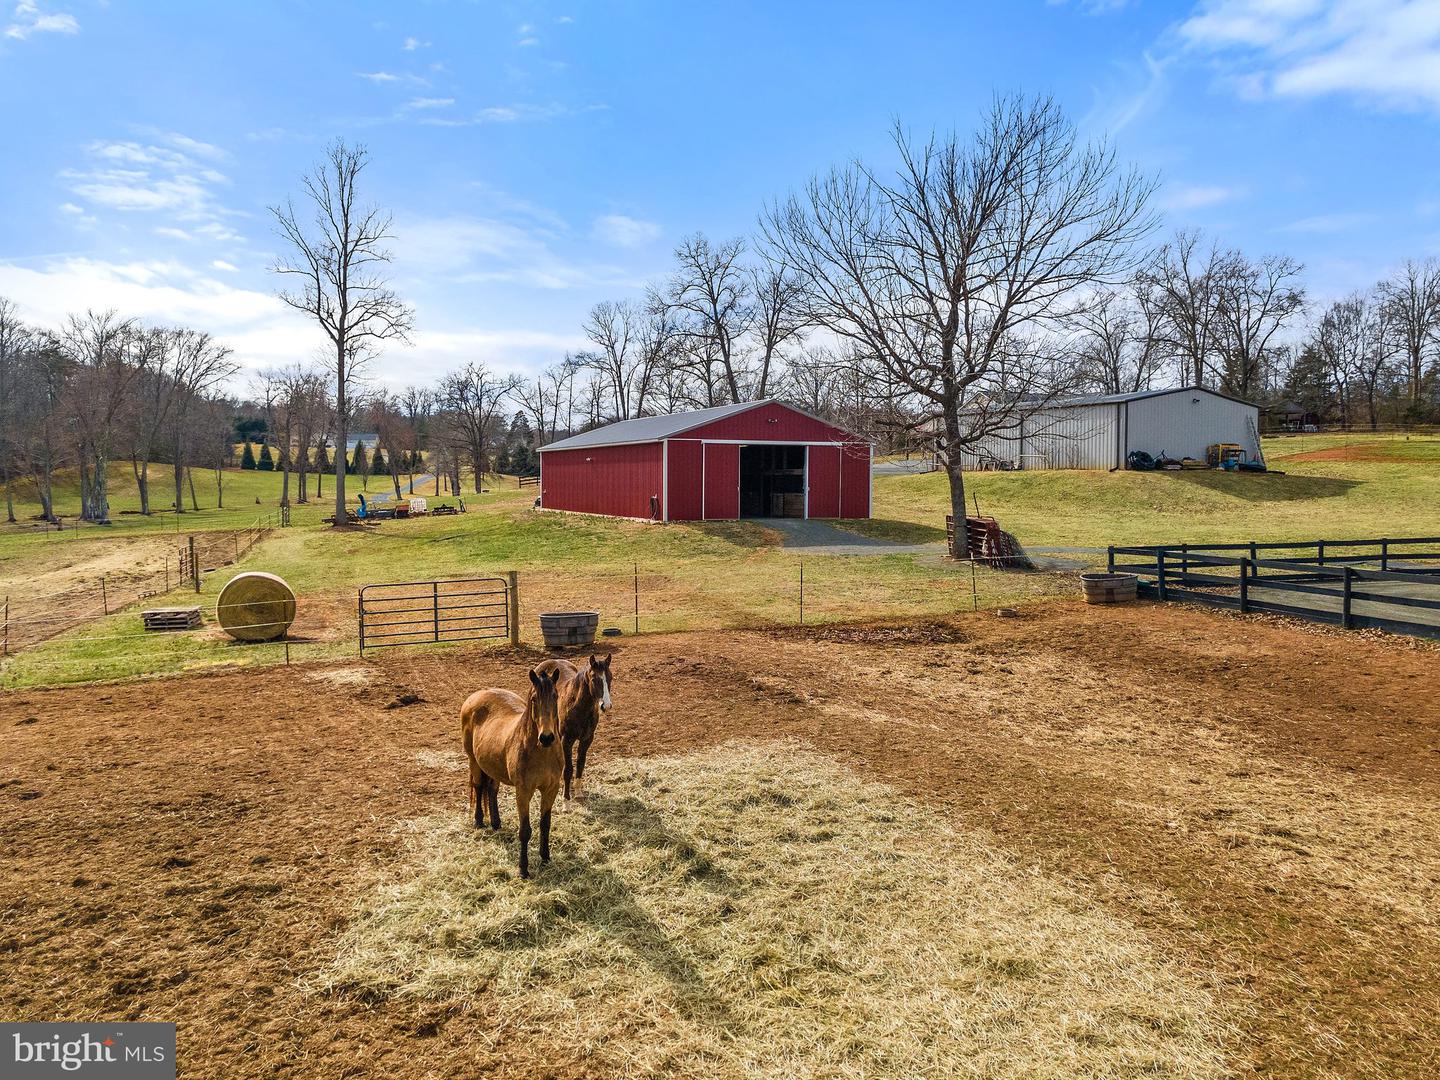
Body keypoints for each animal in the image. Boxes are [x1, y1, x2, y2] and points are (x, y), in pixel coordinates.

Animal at [460, 668, 561, 881]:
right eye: (534, 699)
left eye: (555, 696)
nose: (547, 737)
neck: (542, 752)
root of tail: (476, 695)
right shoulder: (523, 792)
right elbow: (525, 830)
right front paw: (523, 869)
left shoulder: (551, 789)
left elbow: (545, 824)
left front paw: (545, 857)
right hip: (473, 760)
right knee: (479, 787)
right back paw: (479, 821)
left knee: (492, 790)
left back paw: (496, 823)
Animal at [538, 656, 610, 800]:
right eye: (594, 679)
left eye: (610, 677)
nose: (606, 705)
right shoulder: (567, 740)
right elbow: (568, 769)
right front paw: (566, 799)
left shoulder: (587, 739)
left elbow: (580, 763)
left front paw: (578, 792)